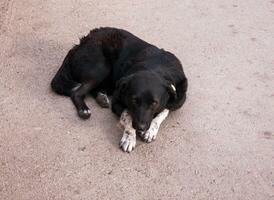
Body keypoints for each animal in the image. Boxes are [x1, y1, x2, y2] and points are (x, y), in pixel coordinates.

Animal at [50, 27, 188, 152]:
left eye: (154, 103)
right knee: (77, 92)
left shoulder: (176, 101)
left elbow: (163, 112)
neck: (157, 67)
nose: (141, 127)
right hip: (101, 68)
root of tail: (80, 43)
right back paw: (84, 110)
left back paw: (101, 97)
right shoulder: (117, 100)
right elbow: (127, 115)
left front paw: (151, 131)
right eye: (134, 100)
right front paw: (129, 138)